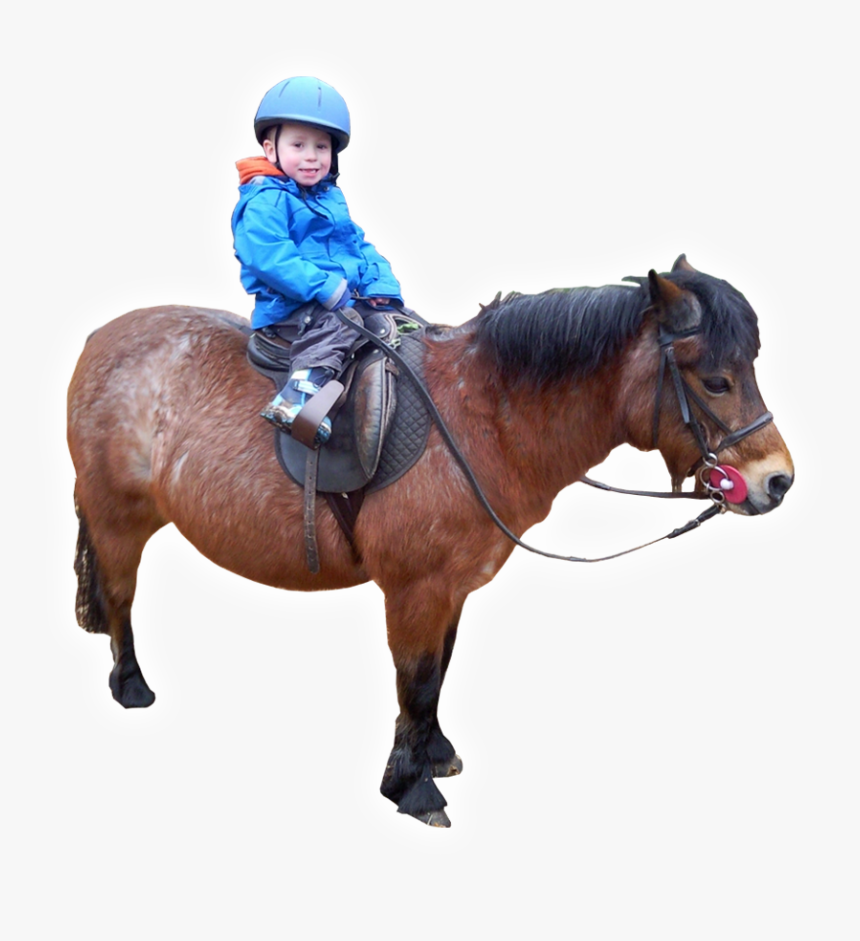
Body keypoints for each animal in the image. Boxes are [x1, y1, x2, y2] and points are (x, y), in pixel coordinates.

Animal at [67, 255, 794, 827]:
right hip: (116, 516)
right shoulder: (416, 587)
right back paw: (130, 685)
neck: (485, 419)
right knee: (120, 597)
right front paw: (410, 788)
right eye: (716, 379)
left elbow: (438, 673)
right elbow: (414, 680)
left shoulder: (453, 587)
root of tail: (99, 337)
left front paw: (433, 755)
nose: (778, 480)